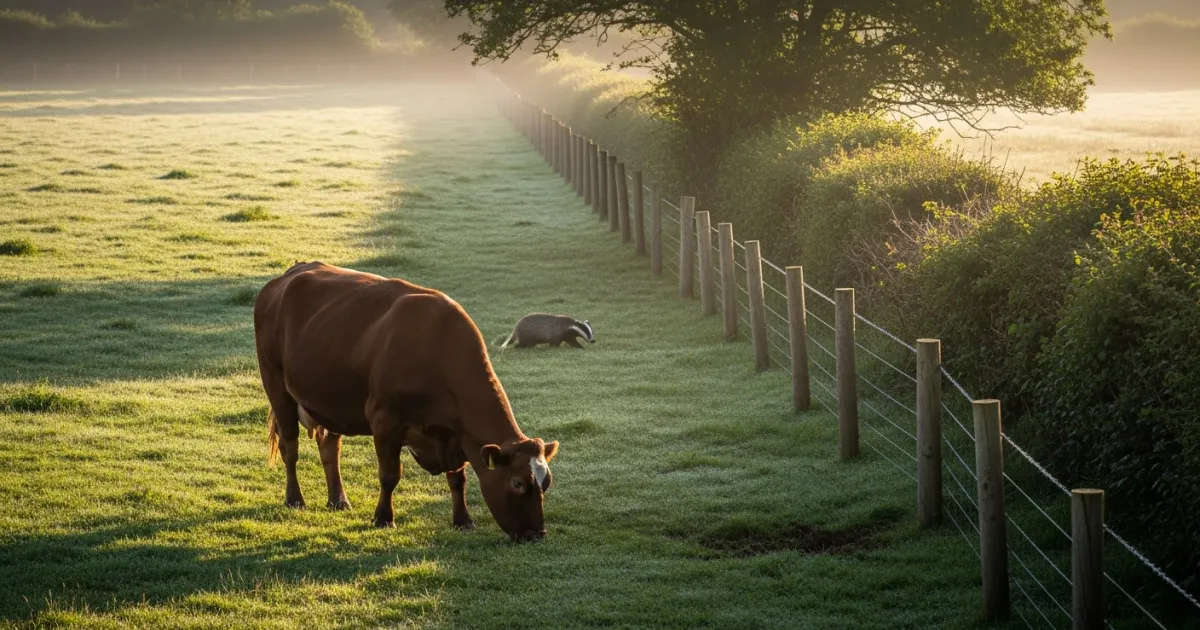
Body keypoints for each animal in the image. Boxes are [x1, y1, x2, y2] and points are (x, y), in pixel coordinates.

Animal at [253, 261, 559, 542]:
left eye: (546, 483)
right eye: (517, 483)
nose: (536, 533)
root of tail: (288, 276)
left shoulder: (455, 437)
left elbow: (457, 479)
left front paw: (462, 520)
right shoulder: (384, 422)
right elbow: (390, 475)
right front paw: (383, 517)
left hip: (329, 401)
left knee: (330, 447)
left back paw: (338, 499)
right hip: (276, 386)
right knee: (289, 446)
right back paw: (295, 499)